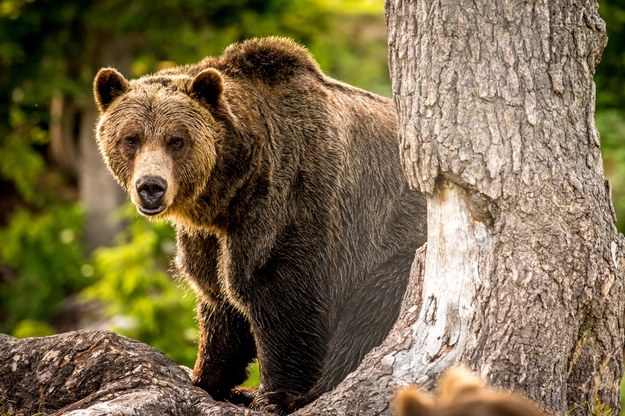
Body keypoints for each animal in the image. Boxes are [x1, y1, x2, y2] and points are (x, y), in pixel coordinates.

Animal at [92, 37, 426, 414]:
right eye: (131, 138)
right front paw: (207, 376)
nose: (151, 186)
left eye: (177, 140)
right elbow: (217, 299)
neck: (230, 190)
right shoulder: (208, 236)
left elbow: (279, 293)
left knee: (370, 311)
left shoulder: (290, 202)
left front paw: (275, 395)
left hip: (401, 245)